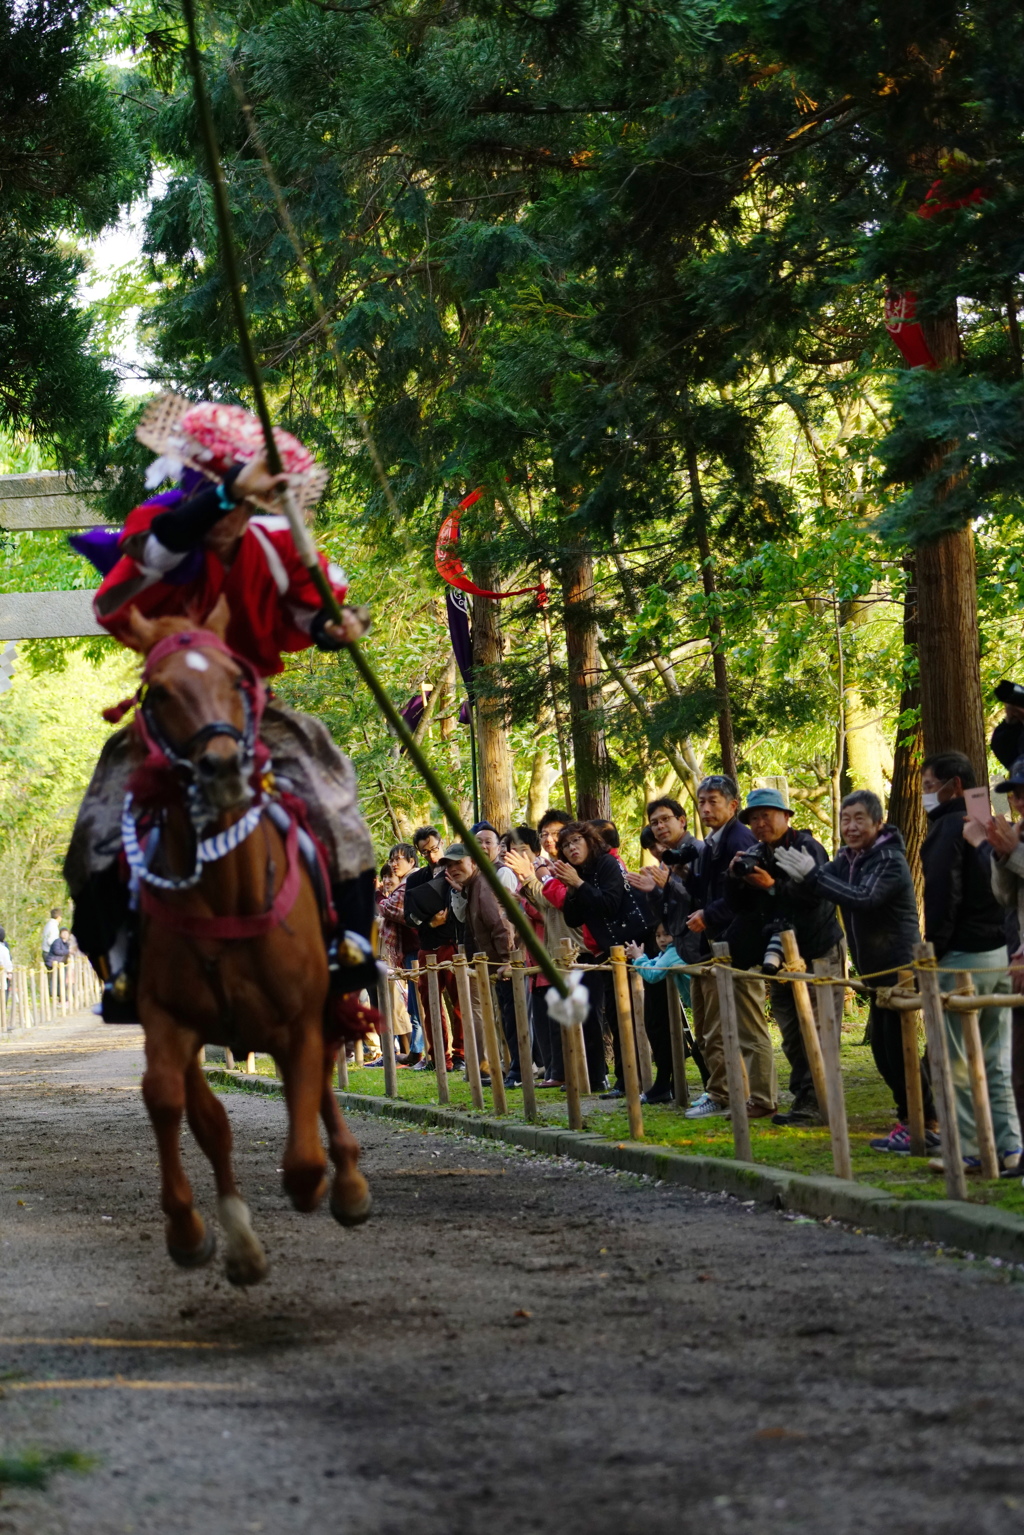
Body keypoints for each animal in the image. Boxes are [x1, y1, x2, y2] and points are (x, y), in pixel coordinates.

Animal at [123, 598, 369, 1283]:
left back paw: (348, 1184)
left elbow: (306, 1140)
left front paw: (323, 1183)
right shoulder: (170, 1020)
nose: (223, 768)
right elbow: (173, 1104)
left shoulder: (299, 1018)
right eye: (160, 690)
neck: (226, 893)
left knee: (324, 1079)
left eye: (237, 680)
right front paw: (194, 1230)